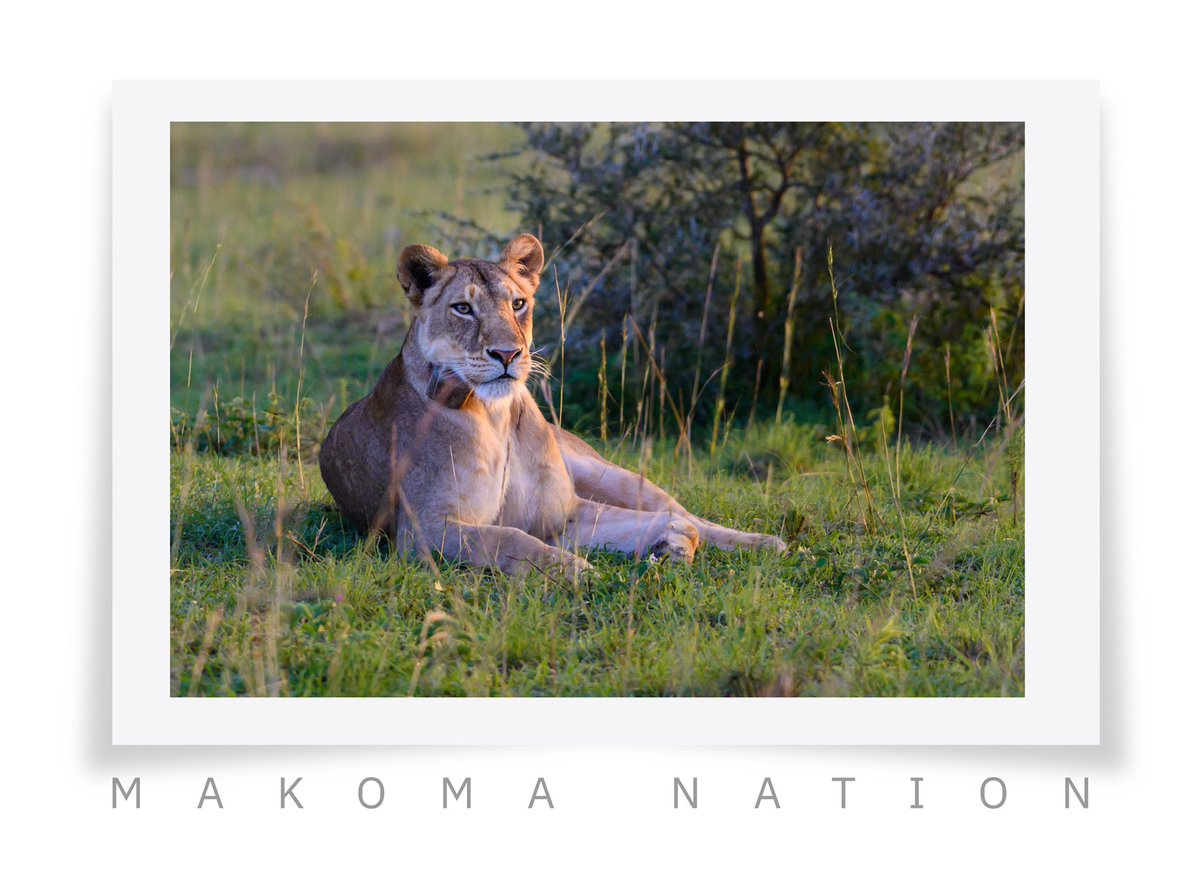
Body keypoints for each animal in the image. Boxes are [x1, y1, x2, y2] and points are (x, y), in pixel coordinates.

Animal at [318, 234, 786, 576]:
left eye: (518, 303)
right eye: (463, 308)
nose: (508, 354)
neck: (494, 416)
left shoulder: (565, 514)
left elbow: (652, 521)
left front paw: (668, 543)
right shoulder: (424, 531)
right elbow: (511, 538)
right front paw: (580, 571)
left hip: (608, 473)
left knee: (683, 512)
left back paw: (763, 543)